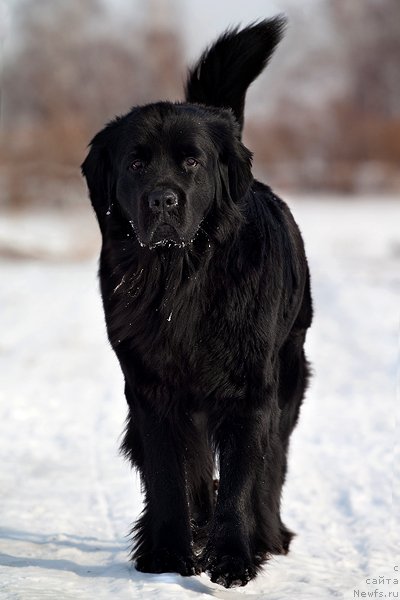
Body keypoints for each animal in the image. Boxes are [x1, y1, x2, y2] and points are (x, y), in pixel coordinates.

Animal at [81, 17, 312, 584]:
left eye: (192, 161)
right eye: (135, 163)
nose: (163, 200)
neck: (179, 282)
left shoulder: (250, 392)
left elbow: (242, 481)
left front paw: (233, 558)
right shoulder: (151, 390)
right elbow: (171, 477)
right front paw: (167, 554)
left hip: (288, 375)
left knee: (272, 464)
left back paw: (267, 535)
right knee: (195, 471)